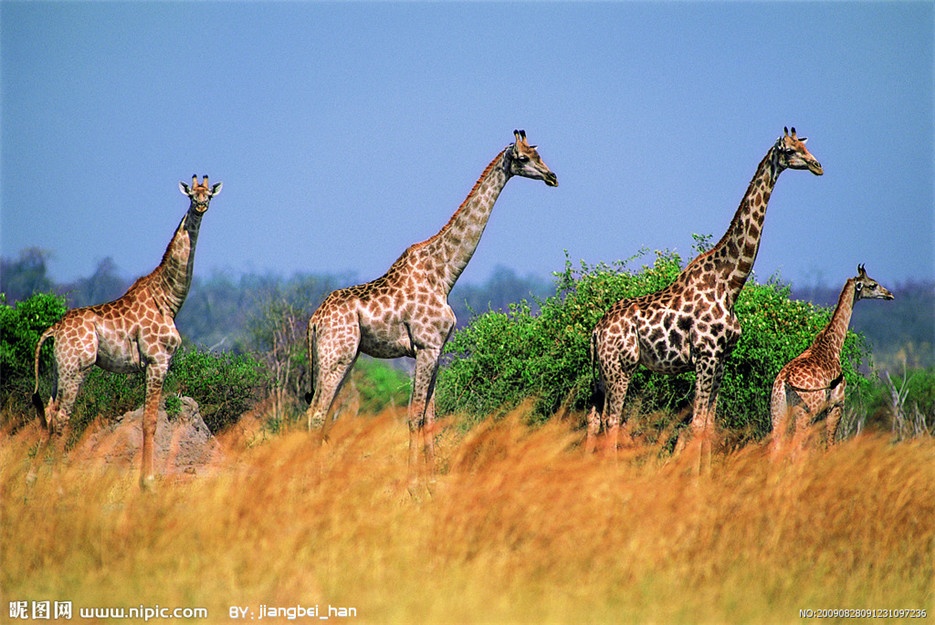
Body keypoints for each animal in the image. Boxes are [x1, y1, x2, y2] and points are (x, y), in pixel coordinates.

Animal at [31, 176, 223, 488]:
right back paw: (56, 482)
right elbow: (150, 421)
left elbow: (149, 419)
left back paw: (32, 477)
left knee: (50, 413)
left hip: (60, 370)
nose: (201, 206)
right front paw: (148, 481)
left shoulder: (151, 364)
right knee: (62, 418)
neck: (167, 298)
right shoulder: (158, 361)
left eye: (209, 195)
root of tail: (54, 329)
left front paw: (146, 479)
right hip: (76, 369)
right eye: (192, 195)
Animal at [772, 264, 896, 454]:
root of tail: (785, 381)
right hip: (805, 412)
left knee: (776, 447)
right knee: (797, 447)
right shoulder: (837, 404)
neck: (833, 346)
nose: (889, 294)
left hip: (778, 410)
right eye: (873, 285)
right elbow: (830, 442)